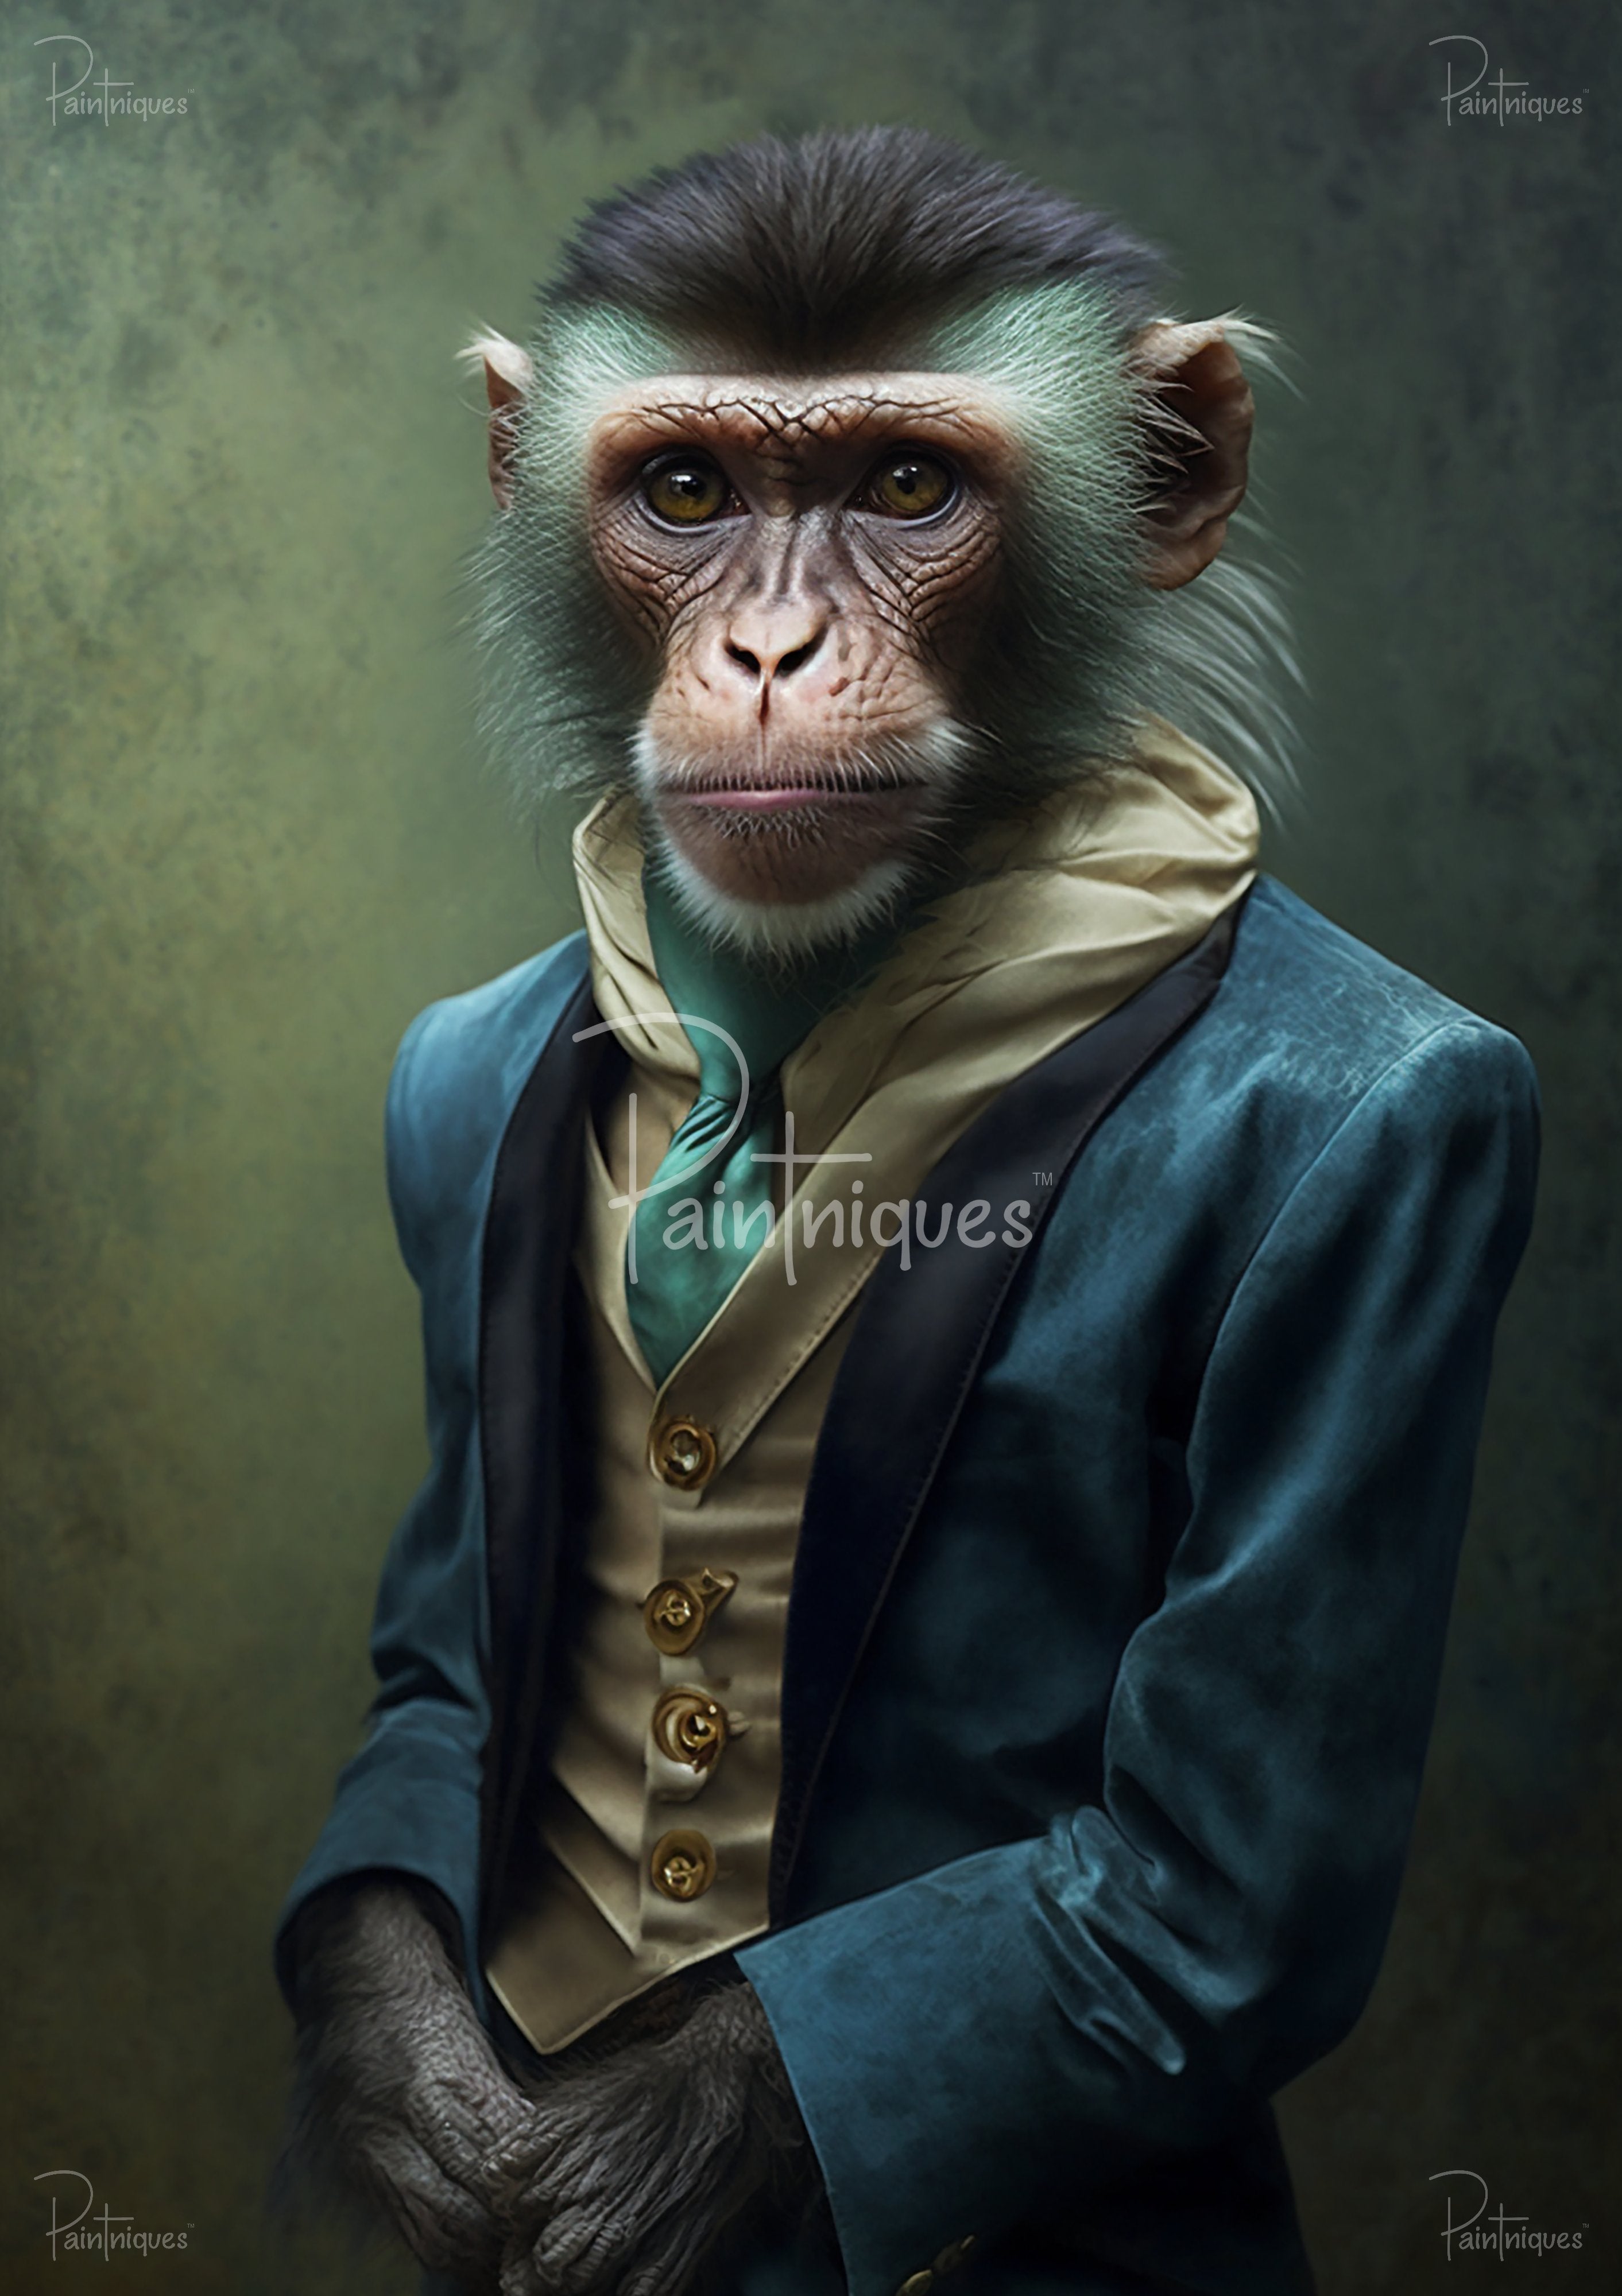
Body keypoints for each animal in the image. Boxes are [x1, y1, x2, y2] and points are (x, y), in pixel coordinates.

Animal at [278, 129, 1537, 2296]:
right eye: (687, 494)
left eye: (900, 488)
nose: (769, 657)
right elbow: (437, 1675)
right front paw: (435, 2103)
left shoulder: (1411, 1173)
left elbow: (1204, 1870)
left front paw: (633, 2164)